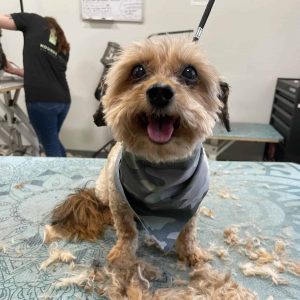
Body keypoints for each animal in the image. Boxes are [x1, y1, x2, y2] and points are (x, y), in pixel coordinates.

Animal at [45, 36, 231, 268]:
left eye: (190, 72)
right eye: (138, 70)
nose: (159, 92)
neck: (162, 166)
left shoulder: (192, 206)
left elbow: (188, 231)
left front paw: (190, 253)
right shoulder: (119, 202)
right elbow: (127, 231)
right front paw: (123, 255)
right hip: (104, 189)